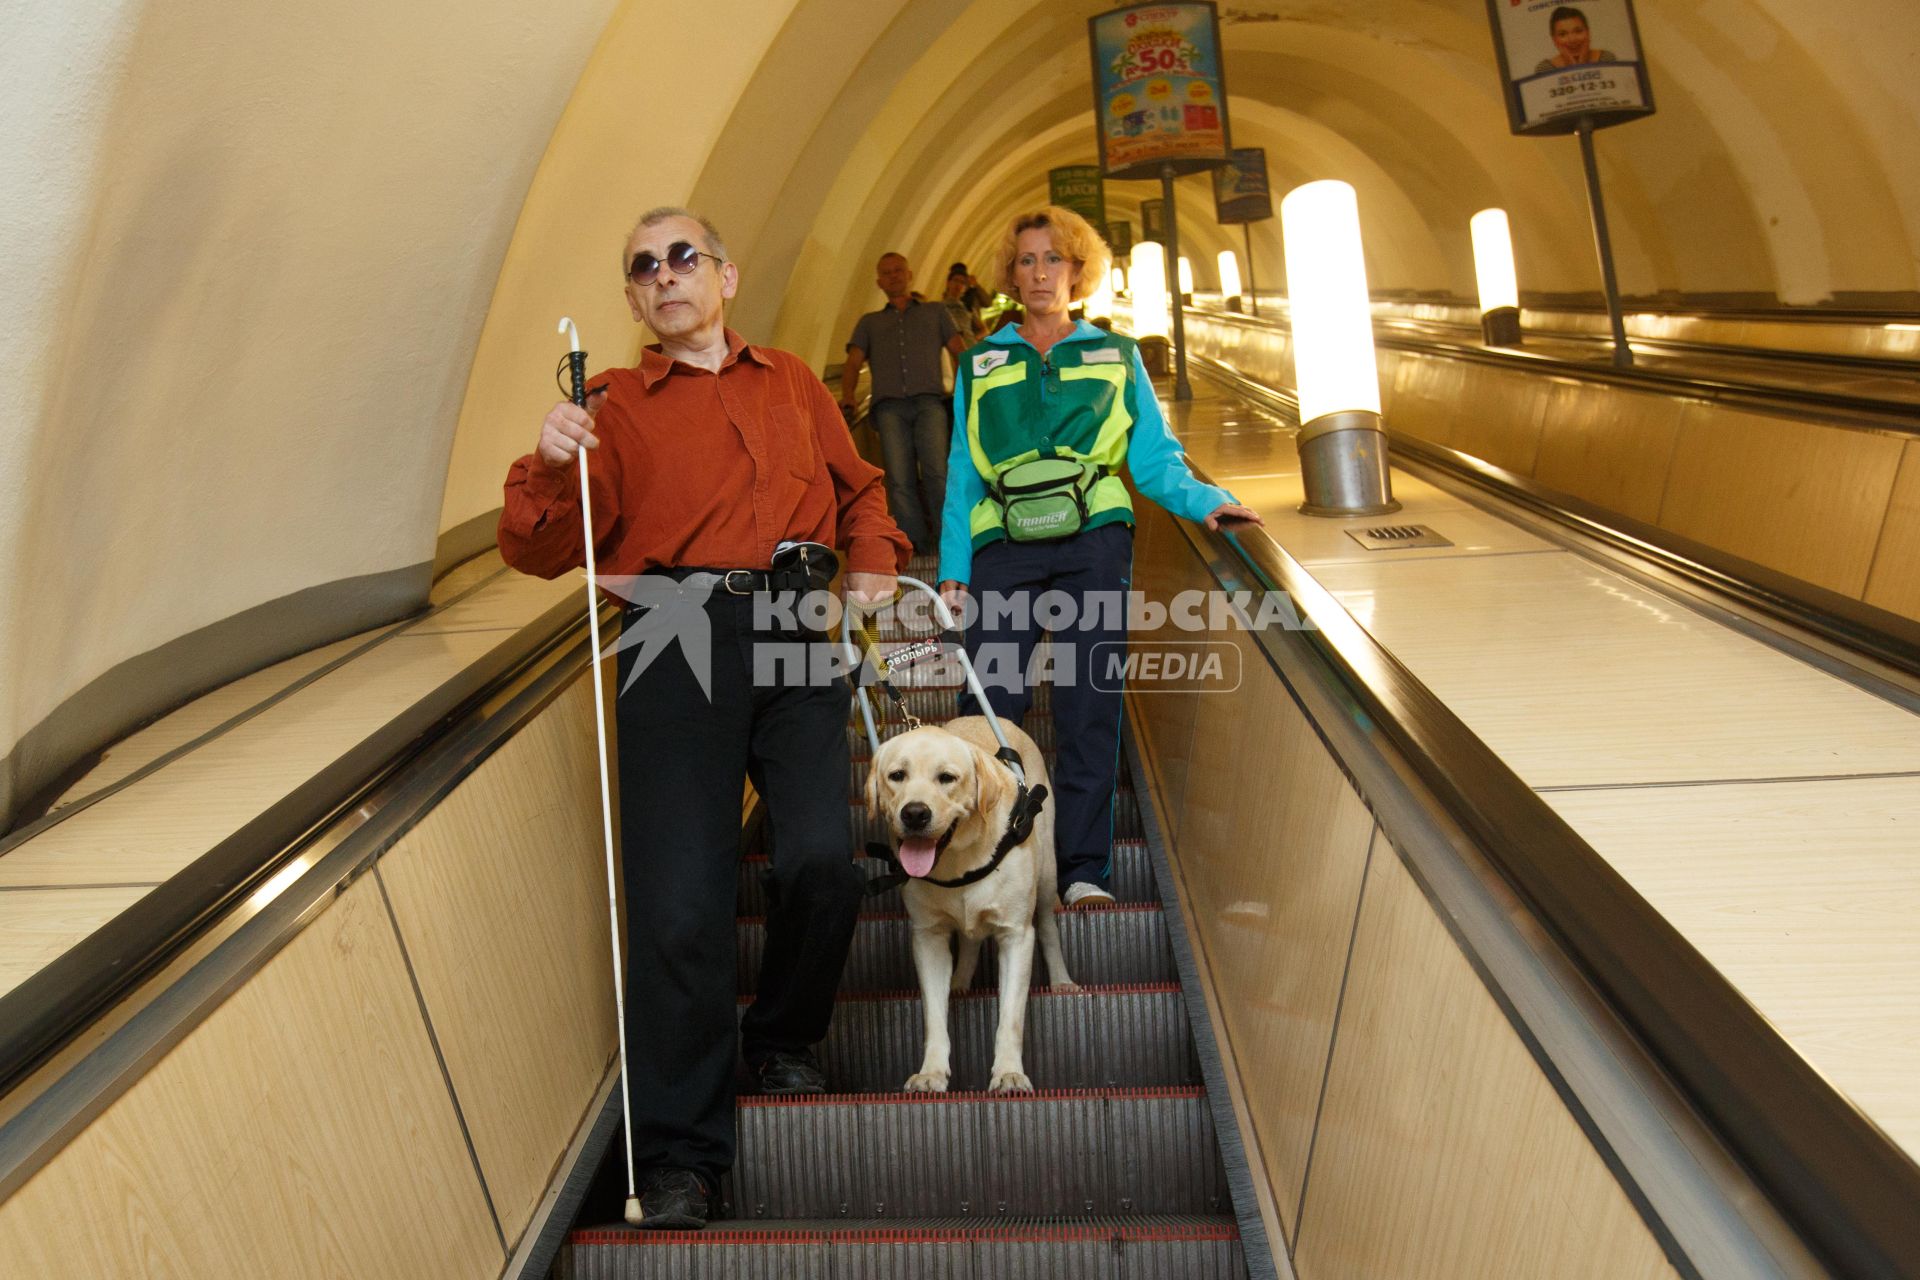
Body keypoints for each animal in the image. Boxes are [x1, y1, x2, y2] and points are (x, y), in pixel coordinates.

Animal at [864, 717, 1075, 1097]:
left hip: (1047, 873)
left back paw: (1062, 980)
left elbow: (1010, 1018)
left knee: (1048, 927)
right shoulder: (928, 939)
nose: (914, 813)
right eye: (897, 775)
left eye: (947, 777)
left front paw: (1009, 1073)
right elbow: (934, 1016)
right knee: (970, 940)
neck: (958, 861)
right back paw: (960, 981)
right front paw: (931, 1073)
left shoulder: (1016, 937)